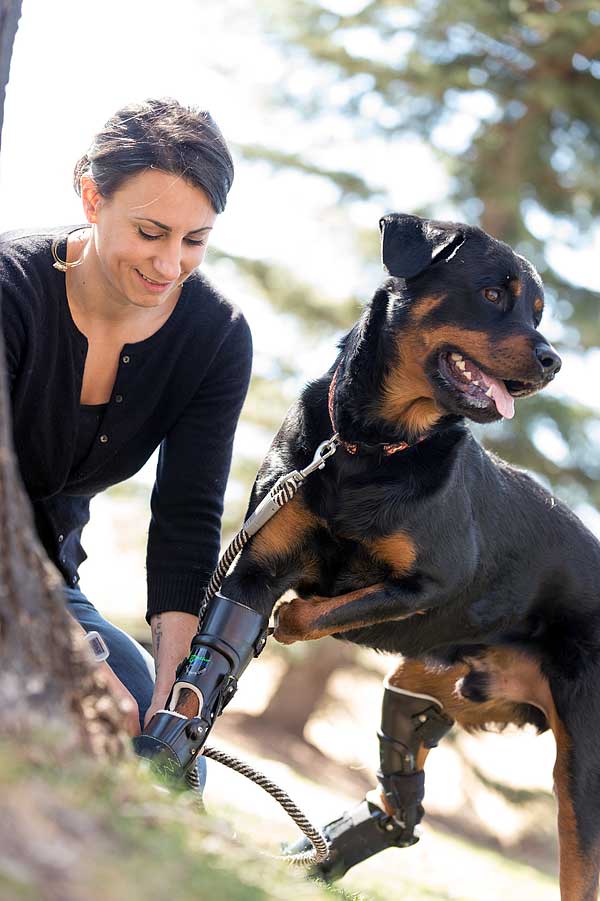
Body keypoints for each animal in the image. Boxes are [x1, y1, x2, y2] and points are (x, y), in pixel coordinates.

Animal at [221, 214, 600, 896]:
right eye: (494, 294)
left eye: (538, 312)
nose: (553, 361)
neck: (370, 448)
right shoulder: (256, 563)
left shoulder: (433, 584)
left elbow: (310, 613)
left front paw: (294, 613)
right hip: (435, 681)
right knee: (404, 785)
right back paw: (321, 858)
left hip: (581, 771)